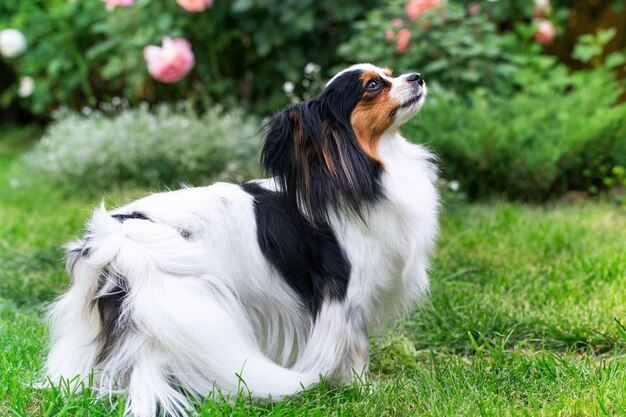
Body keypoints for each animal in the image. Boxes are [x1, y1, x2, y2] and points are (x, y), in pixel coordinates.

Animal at [44, 63, 436, 414]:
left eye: (391, 72)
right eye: (373, 85)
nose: (417, 76)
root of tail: (119, 232)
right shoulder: (345, 297)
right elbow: (356, 350)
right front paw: (365, 391)